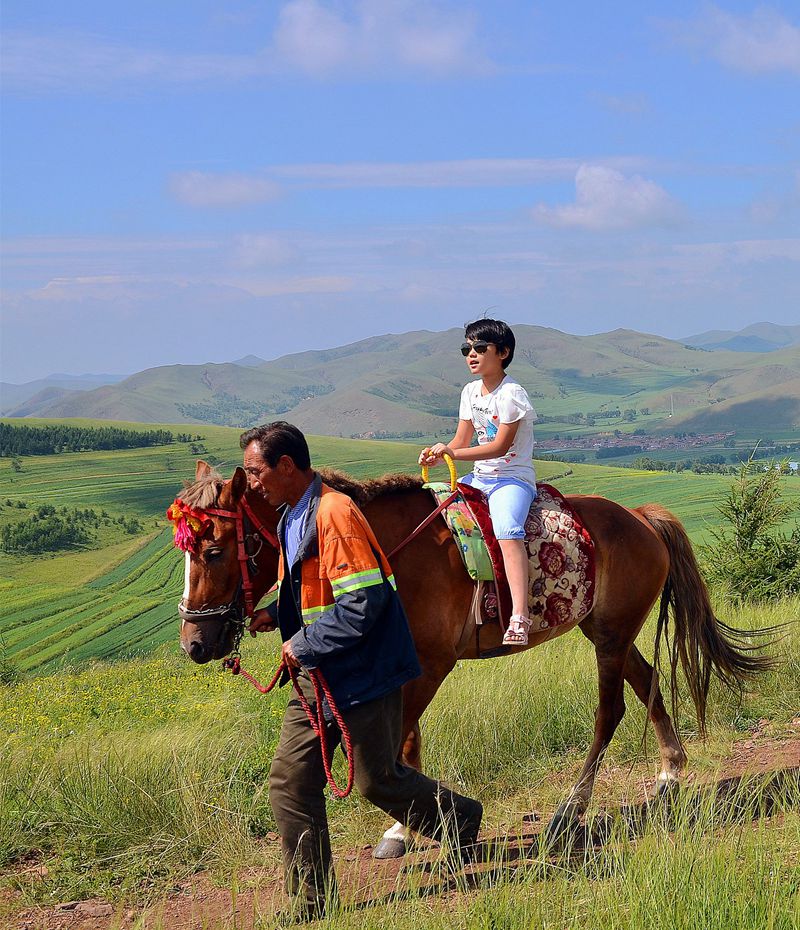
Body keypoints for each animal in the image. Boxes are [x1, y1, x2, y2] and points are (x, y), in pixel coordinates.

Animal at [177, 456, 768, 856]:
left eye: (214, 550)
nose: (195, 644)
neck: (385, 545)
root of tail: (642, 518)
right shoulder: (408, 662)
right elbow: (407, 739)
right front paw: (406, 827)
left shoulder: (432, 663)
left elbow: (398, 741)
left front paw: (403, 825)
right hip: (607, 631)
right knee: (645, 683)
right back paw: (669, 772)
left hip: (611, 637)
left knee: (611, 711)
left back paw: (571, 810)